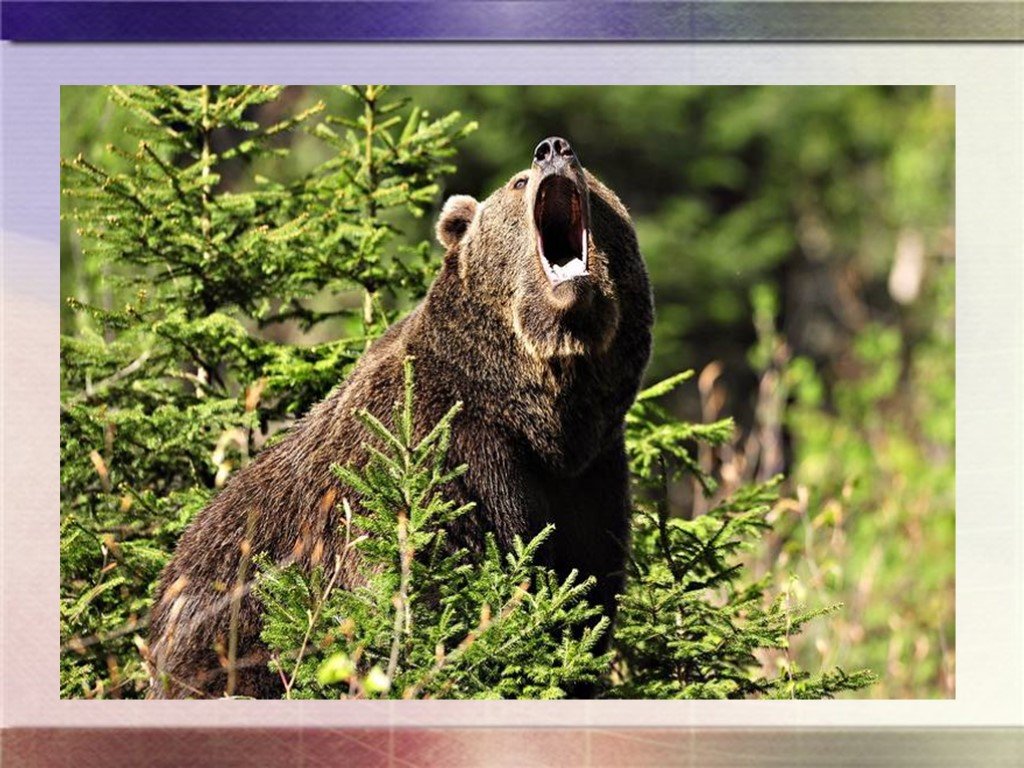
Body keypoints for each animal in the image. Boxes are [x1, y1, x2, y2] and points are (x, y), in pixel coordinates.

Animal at [148, 137, 651, 696]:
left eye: (594, 182)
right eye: (519, 181)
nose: (553, 149)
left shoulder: (590, 479)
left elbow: (583, 598)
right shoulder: (437, 449)